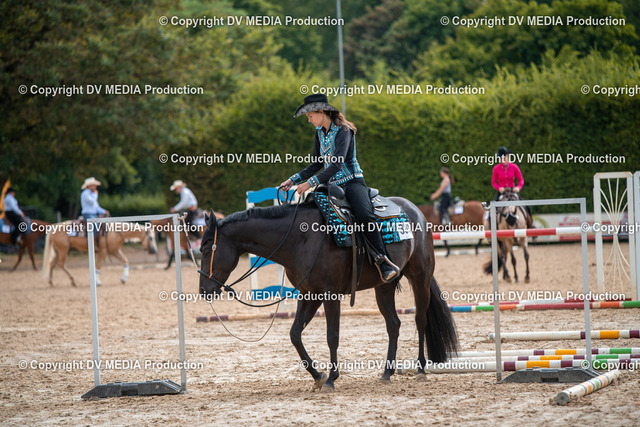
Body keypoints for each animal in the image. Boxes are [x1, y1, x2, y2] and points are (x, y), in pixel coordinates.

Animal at [198, 197, 459, 392]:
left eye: (205, 248)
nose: (203, 290)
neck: (300, 238)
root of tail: (416, 211)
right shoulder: (308, 294)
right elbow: (295, 334)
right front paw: (318, 376)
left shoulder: (330, 294)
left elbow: (332, 336)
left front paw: (331, 379)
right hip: (383, 287)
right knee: (394, 324)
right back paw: (386, 373)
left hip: (420, 279)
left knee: (420, 320)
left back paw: (421, 368)